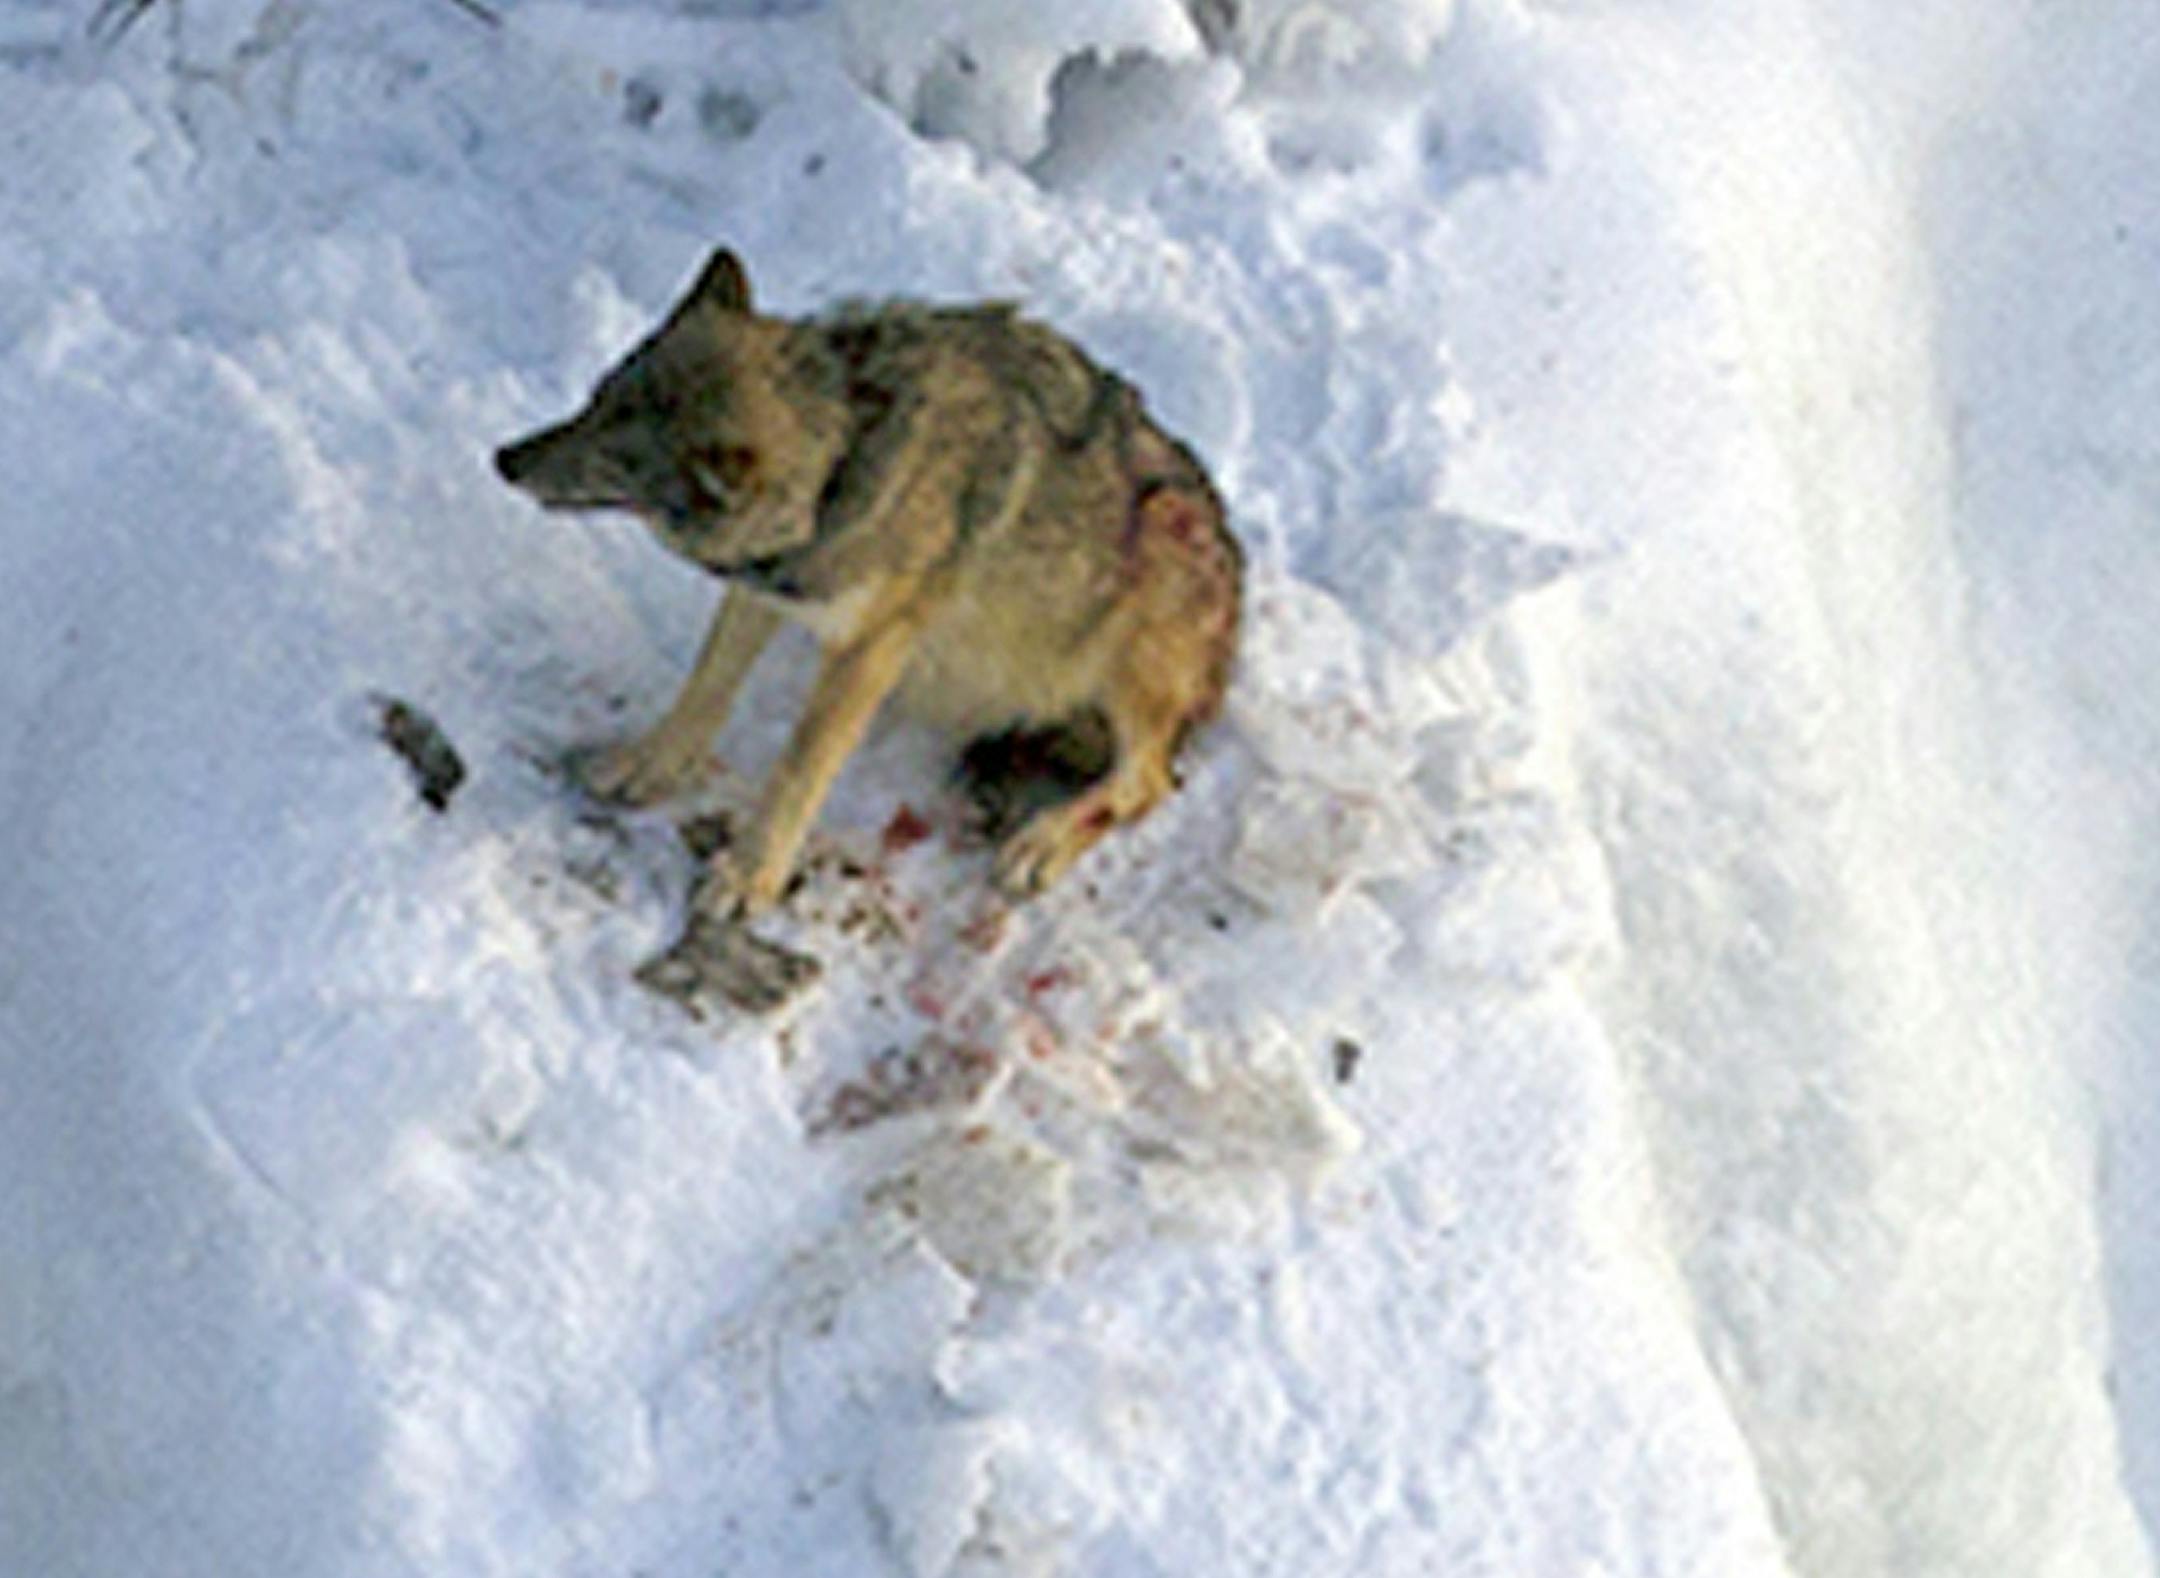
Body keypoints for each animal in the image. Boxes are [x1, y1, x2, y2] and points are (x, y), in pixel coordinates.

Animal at [496, 247, 1242, 921]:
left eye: (612, 461)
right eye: (594, 403)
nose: (504, 458)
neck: (846, 453)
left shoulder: (870, 646)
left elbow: (799, 770)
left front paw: (749, 877)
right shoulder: (765, 589)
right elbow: (705, 689)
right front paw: (650, 765)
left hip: (1149, 581)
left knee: (1152, 782)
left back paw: (1041, 844)